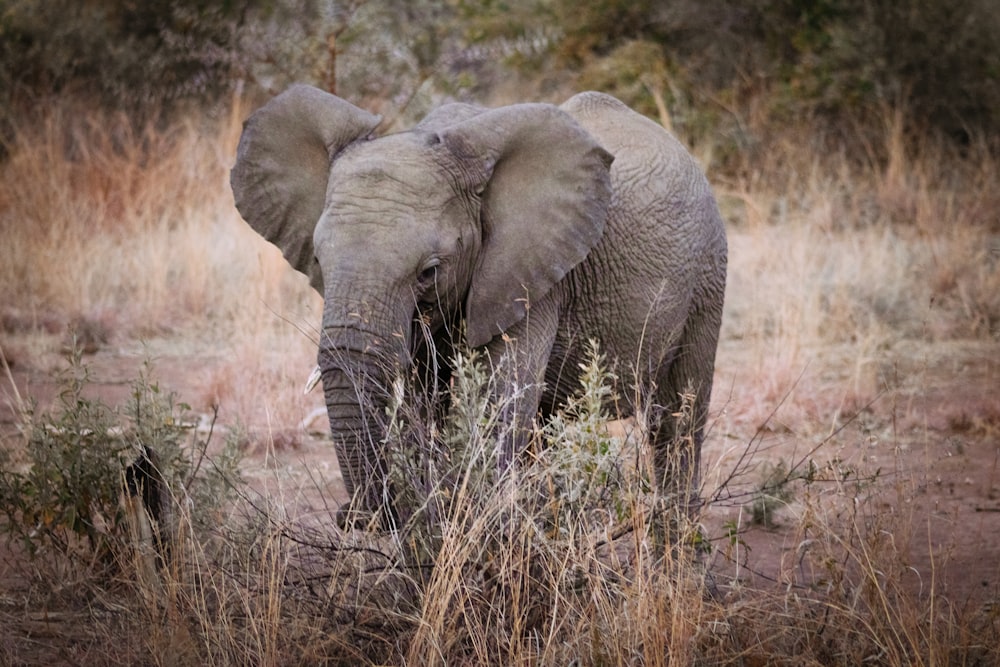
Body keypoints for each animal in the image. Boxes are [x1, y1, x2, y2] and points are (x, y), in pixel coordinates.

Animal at [231, 86, 732, 528]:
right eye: (318, 260)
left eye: (429, 271)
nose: (354, 518)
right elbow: (427, 404)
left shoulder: (532, 275)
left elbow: (497, 405)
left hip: (709, 274)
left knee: (679, 418)